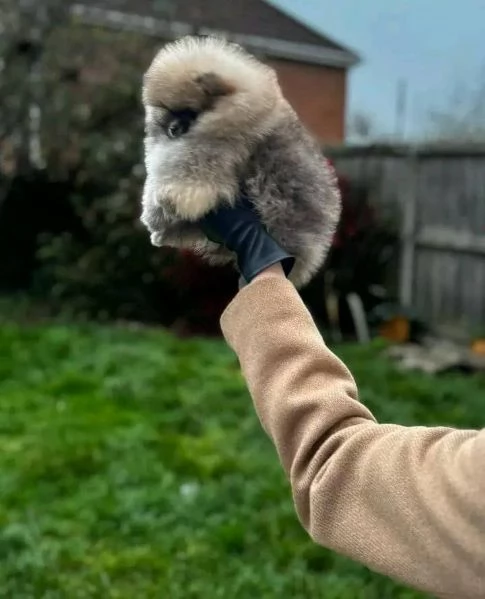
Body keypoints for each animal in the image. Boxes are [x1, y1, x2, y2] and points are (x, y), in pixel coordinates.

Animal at [141, 34, 340, 288]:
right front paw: (157, 217)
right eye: (169, 111)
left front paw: (167, 203)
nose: (172, 129)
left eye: (190, 110)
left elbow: (190, 175)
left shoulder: (212, 151)